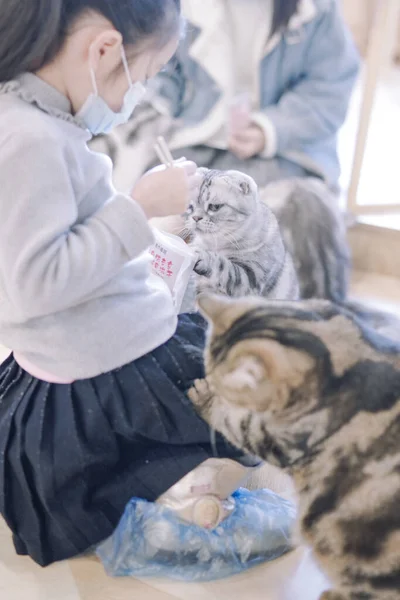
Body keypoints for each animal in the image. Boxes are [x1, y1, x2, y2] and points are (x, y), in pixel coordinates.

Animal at [184, 168, 296, 300]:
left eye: (214, 206)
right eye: (190, 206)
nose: (195, 217)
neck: (215, 244)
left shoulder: (251, 278)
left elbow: (224, 266)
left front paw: (202, 255)